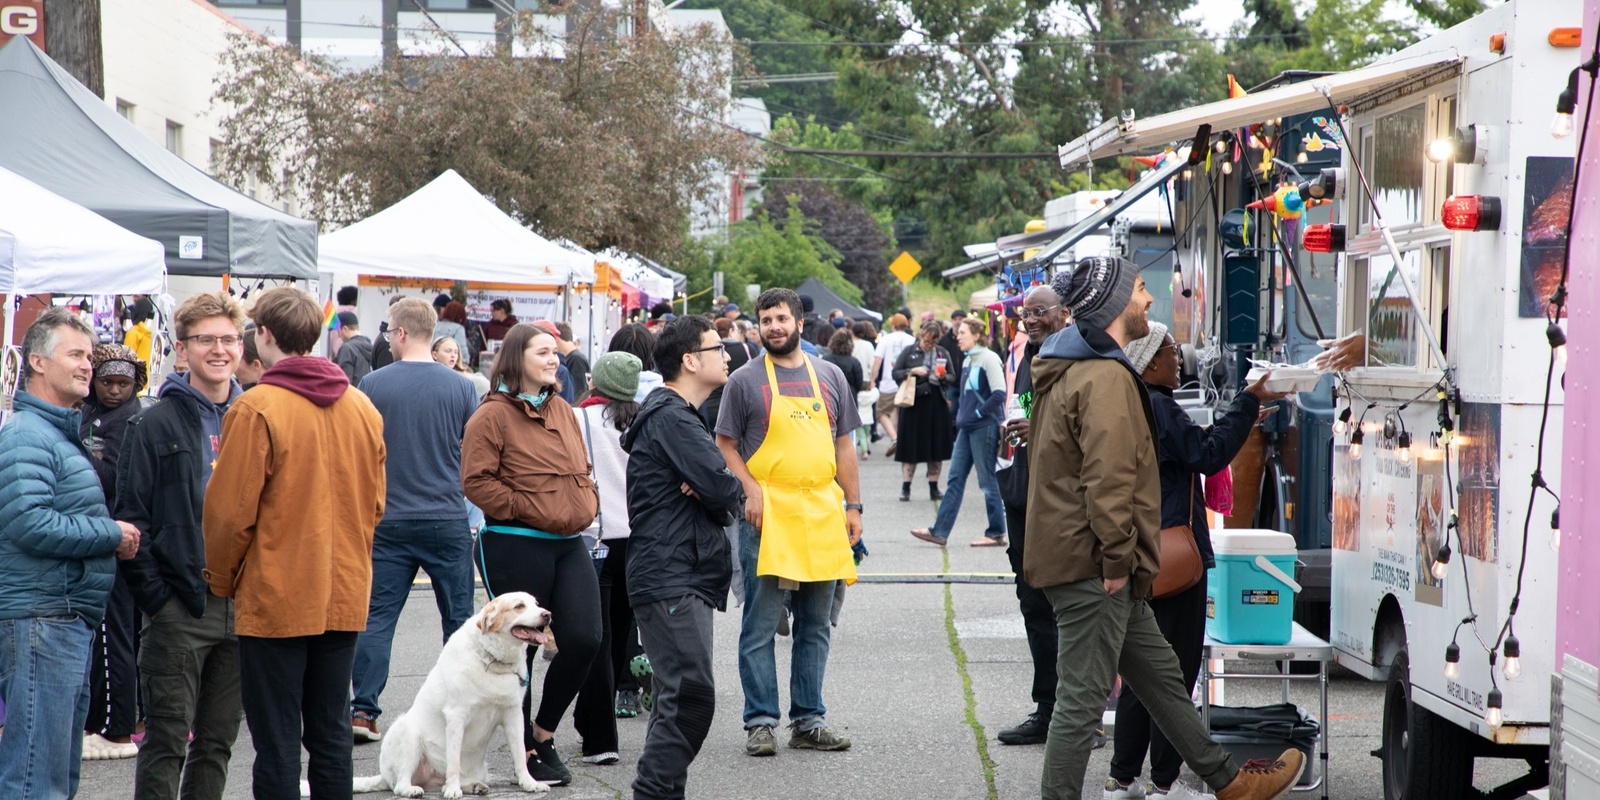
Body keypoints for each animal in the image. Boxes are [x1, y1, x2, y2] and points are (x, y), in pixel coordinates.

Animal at [353, 592, 553, 796]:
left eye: (536, 604)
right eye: (519, 606)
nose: (547, 614)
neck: (492, 661)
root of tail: (384, 777)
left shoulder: (513, 715)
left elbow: (520, 753)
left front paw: (529, 783)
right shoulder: (456, 716)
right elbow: (454, 760)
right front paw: (453, 789)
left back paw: (474, 786)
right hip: (407, 732)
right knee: (400, 784)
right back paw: (414, 790)